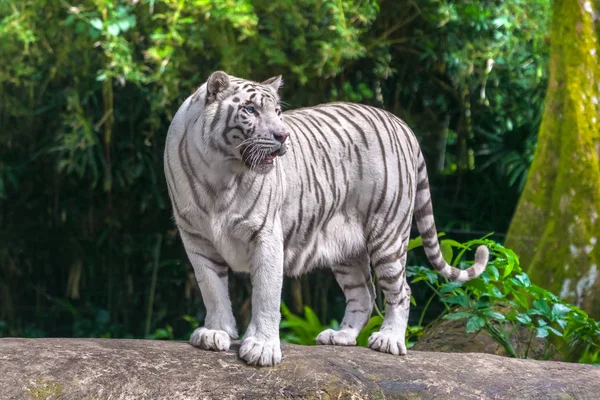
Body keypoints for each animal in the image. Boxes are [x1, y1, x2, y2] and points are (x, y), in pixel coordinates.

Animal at [163, 71, 488, 366]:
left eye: (277, 112)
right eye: (250, 110)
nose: (283, 135)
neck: (220, 173)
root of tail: (401, 124)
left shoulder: (266, 236)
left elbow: (266, 295)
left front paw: (262, 347)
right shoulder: (197, 240)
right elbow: (212, 289)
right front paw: (215, 333)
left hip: (388, 233)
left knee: (401, 290)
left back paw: (389, 339)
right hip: (347, 250)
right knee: (364, 294)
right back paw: (341, 336)